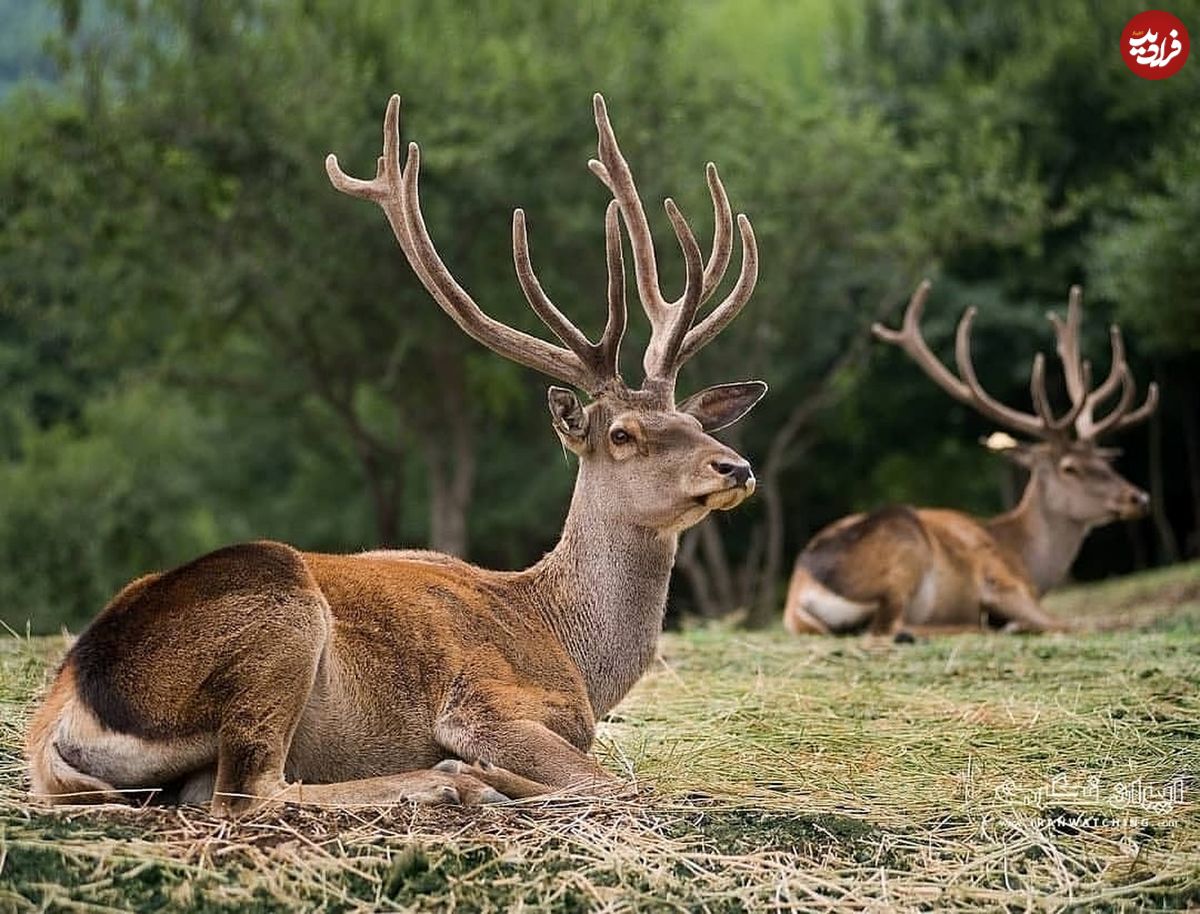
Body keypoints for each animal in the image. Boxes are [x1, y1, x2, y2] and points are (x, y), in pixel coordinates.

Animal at [28, 94, 763, 810]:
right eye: (622, 435)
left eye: (695, 421)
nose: (736, 466)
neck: (570, 647)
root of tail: (60, 717)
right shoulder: (485, 703)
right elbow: (618, 787)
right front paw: (481, 773)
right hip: (279, 614)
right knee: (247, 792)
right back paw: (454, 783)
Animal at [782, 281, 1156, 638]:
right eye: (1070, 467)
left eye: (1105, 461)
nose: (1138, 497)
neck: (1022, 557)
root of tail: (800, 594)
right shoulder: (999, 579)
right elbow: (1073, 623)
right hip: (903, 548)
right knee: (890, 626)